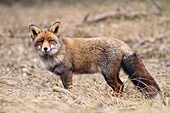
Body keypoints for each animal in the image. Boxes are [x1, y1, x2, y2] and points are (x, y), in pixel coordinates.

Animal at [28, 21, 161, 99]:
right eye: (40, 41)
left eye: (51, 40)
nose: (45, 48)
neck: (59, 51)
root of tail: (121, 43)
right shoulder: (62, 74)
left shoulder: (67, 72)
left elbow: (68, 89)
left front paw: (69, 98)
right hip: (112, 74)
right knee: (122, 85)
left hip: (108, 75)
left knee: (118, 86)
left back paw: (115, 100)